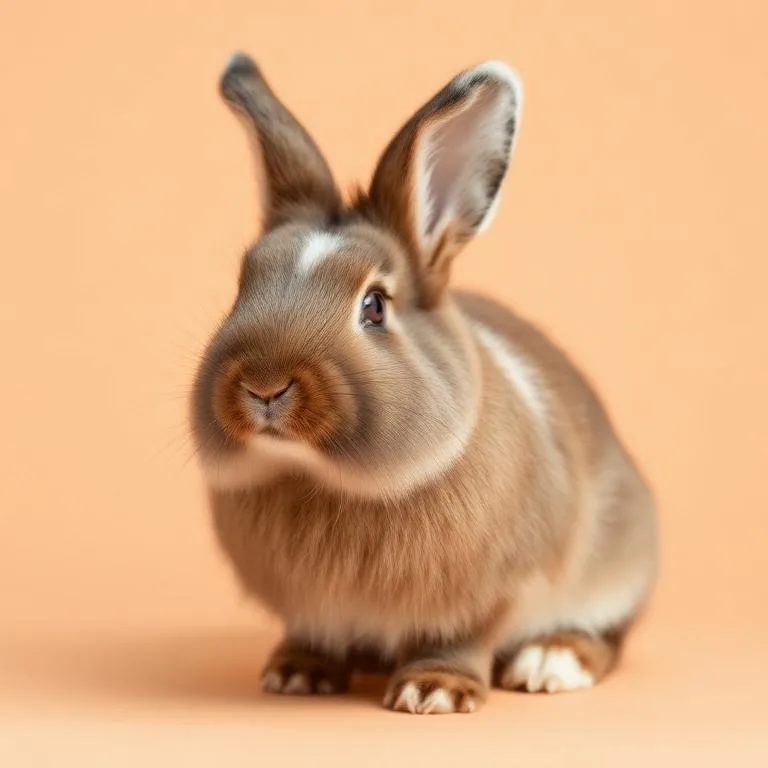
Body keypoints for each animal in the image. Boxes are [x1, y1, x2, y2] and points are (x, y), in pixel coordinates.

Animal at [189, 52, 658, 715]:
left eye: (375, 306)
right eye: (242, 284)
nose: (264, 386)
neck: (323, 479)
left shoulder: (482, 594)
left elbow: (459, 639)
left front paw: (433, 691)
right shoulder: (309, 609)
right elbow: (311, 633)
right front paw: (296, 674)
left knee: (608, 637)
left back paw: (550, 662)